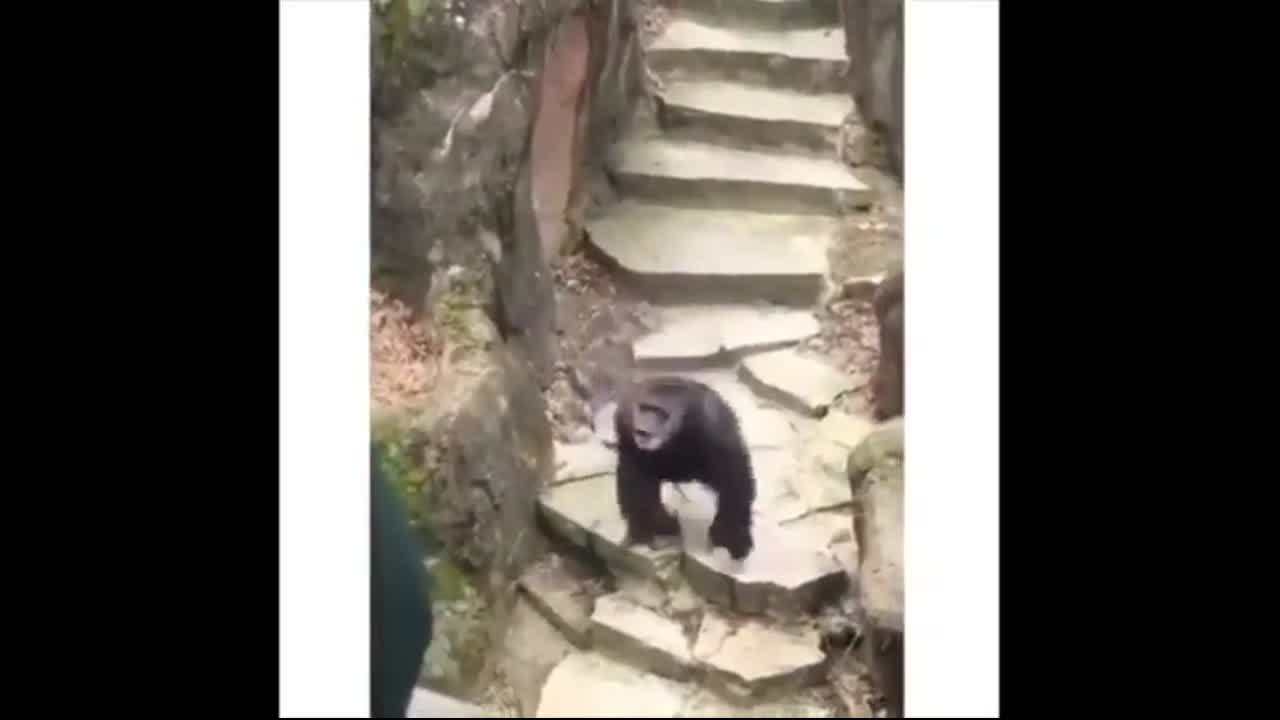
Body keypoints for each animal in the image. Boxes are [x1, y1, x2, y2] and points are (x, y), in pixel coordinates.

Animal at [613, 376, 756, 560]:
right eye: (644, 408)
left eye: (660, 413)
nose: (643, 430)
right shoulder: (624, 420)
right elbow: (634, 474)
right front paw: (642, 531)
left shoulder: (716, 429)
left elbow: (734, 478)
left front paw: (732, 537)